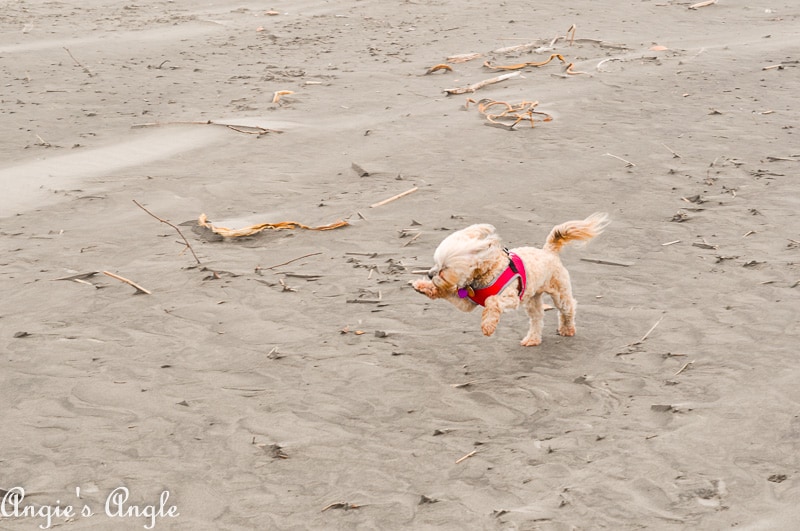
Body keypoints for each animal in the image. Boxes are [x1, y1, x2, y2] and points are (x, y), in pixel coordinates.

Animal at [410, 214, 608, 348]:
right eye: (435, 264)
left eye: (444, 269)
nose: (430, 274)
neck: (485, 273)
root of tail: (548, 251)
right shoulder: (466, 303)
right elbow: (447, 293)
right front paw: (423, 286)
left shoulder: (510, 298)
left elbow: (492, 301)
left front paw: (488, 325)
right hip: (533, 299)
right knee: (537, 319)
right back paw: (532, 339)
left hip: (559, 292)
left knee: (568, 308)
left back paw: (567, 329)